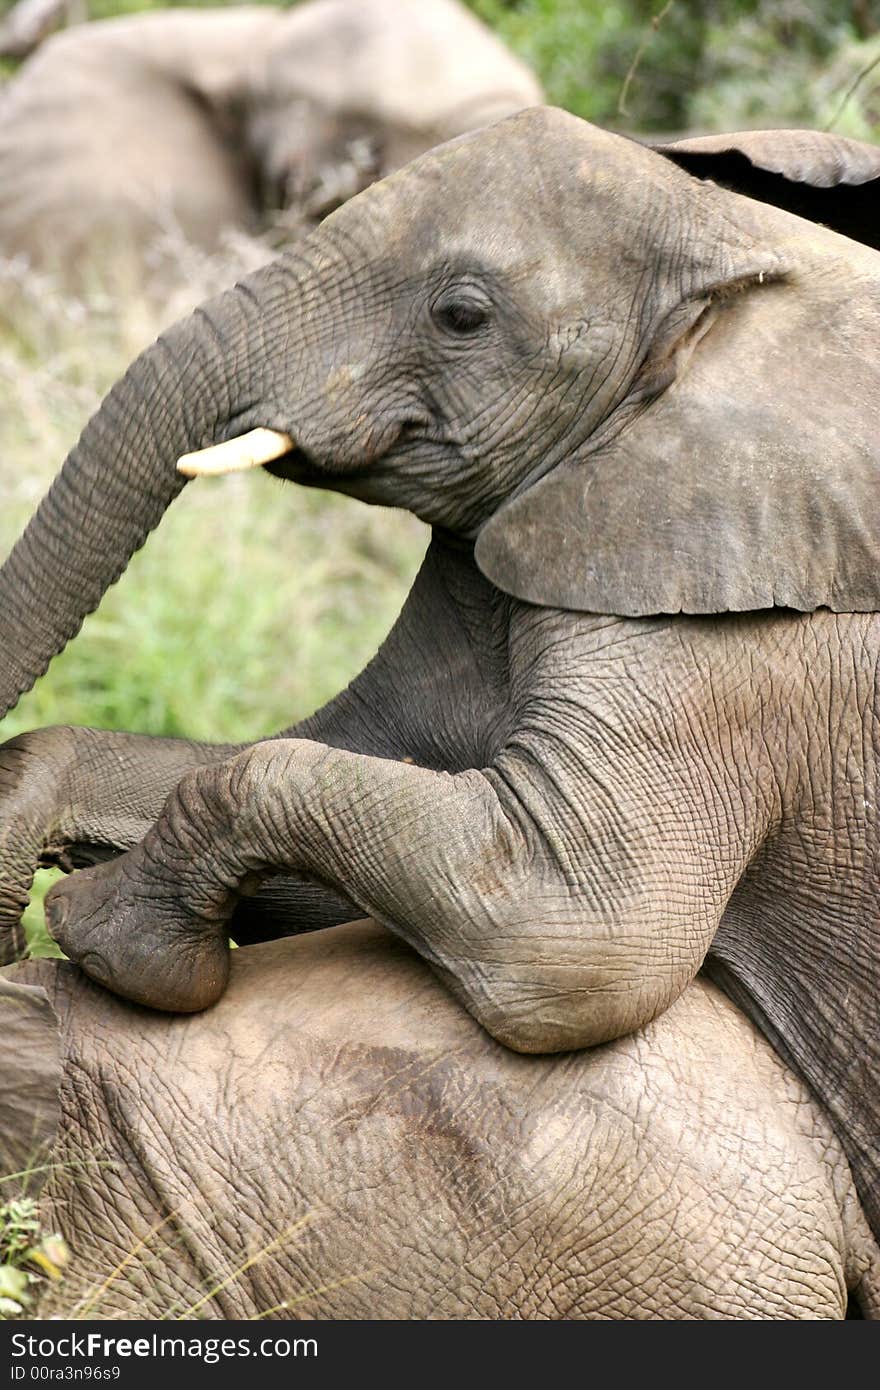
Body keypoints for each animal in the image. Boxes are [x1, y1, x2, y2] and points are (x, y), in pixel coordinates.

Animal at [0, 113, 873, 1251]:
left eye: (463, 315)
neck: (736, 252)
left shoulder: (742, 631)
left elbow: (580, 939)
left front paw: (107, 939)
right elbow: (350, 778)